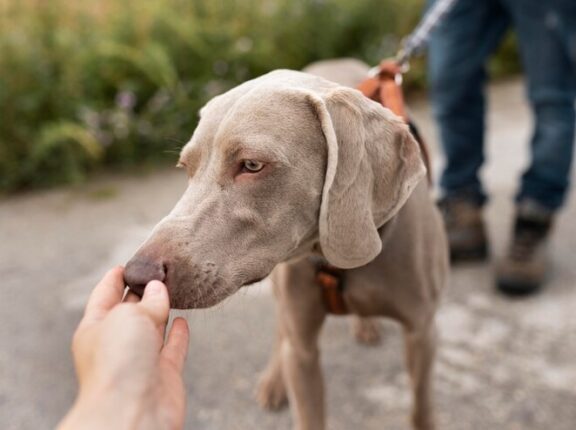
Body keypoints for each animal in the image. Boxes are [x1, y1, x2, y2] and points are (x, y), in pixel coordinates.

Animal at [125, 63, 450, 430]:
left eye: (252, 165)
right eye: (187, 169)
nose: (136, 275)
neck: (331, 261)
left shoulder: (422, 333)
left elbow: (422, 408)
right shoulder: (303, 352)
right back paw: (274, 381)